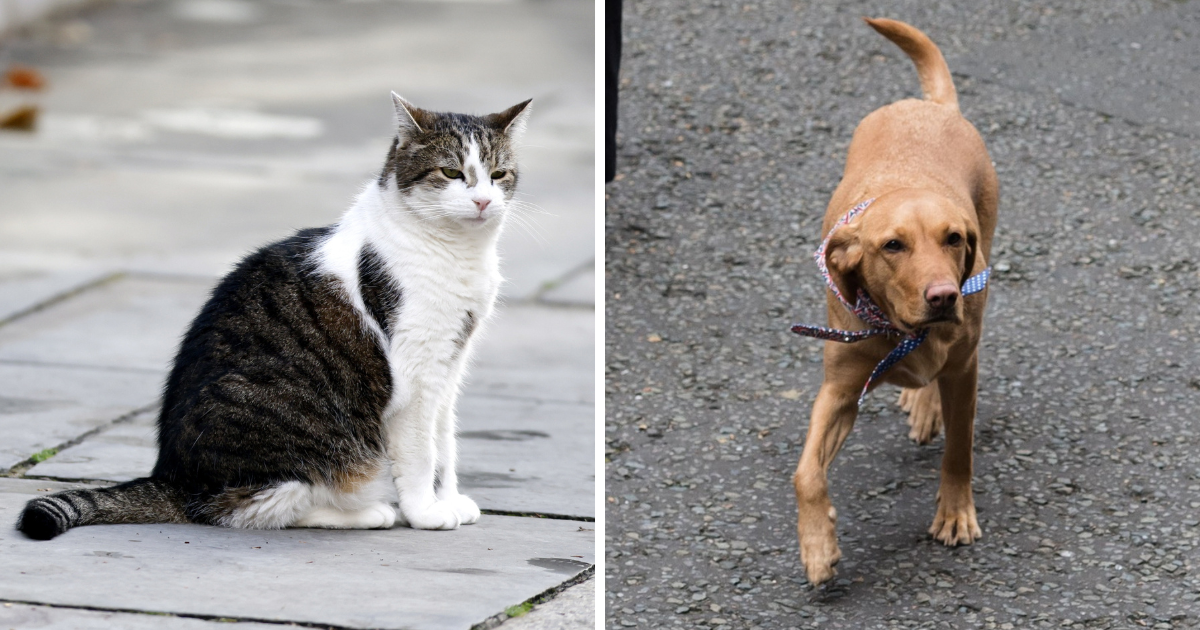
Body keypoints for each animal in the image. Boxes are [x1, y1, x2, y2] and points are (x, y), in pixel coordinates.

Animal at [16, 90, 532, 537]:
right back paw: (369, 513)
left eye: (498, 174)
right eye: (451, 172)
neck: (459, 253)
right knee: (255, 508)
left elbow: (446, 443)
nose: (483, 201)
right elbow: (421, 452)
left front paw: (450, 499)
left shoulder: (450, 365)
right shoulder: (417, 372)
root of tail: (173, 477)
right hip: (306, 447)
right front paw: (426, 512)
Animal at [792, 18, 998, 585]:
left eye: (953, 238)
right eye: (892, 246)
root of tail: (930, 107)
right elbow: (805, 473)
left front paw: (954, 513)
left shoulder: (965, 368)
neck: (898, 327)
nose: (944, 295)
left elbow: (959, 449)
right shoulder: (840, 389)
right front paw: (818, 545)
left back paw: (926, 402)